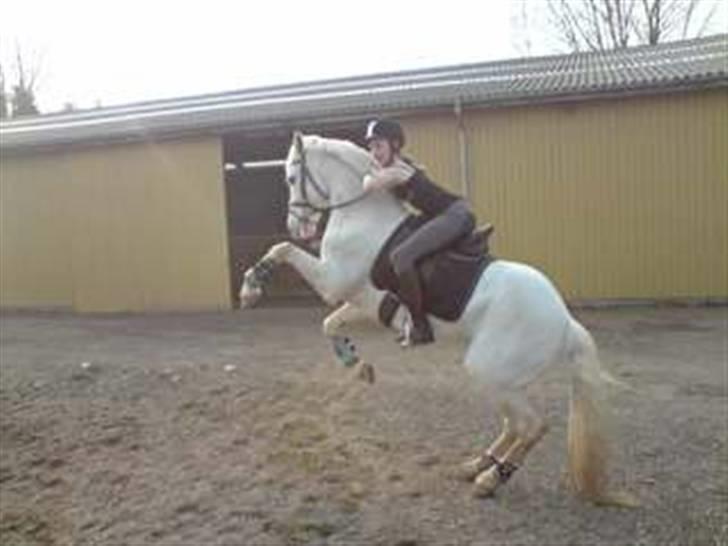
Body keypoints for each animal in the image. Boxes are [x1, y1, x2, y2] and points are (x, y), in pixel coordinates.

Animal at [239, 132, 634, 505]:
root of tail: (565, 322)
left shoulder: (333, 280)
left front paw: (250, 289)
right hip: (501, 377)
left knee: (532, 426)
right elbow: (330, 324)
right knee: (514, 423)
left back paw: (491, 480)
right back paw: (476, 465)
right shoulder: (362, 302)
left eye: (291, 178)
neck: (362, 215)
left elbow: (283, 250)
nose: (297, 225)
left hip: (490, 369)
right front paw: (354, 361)